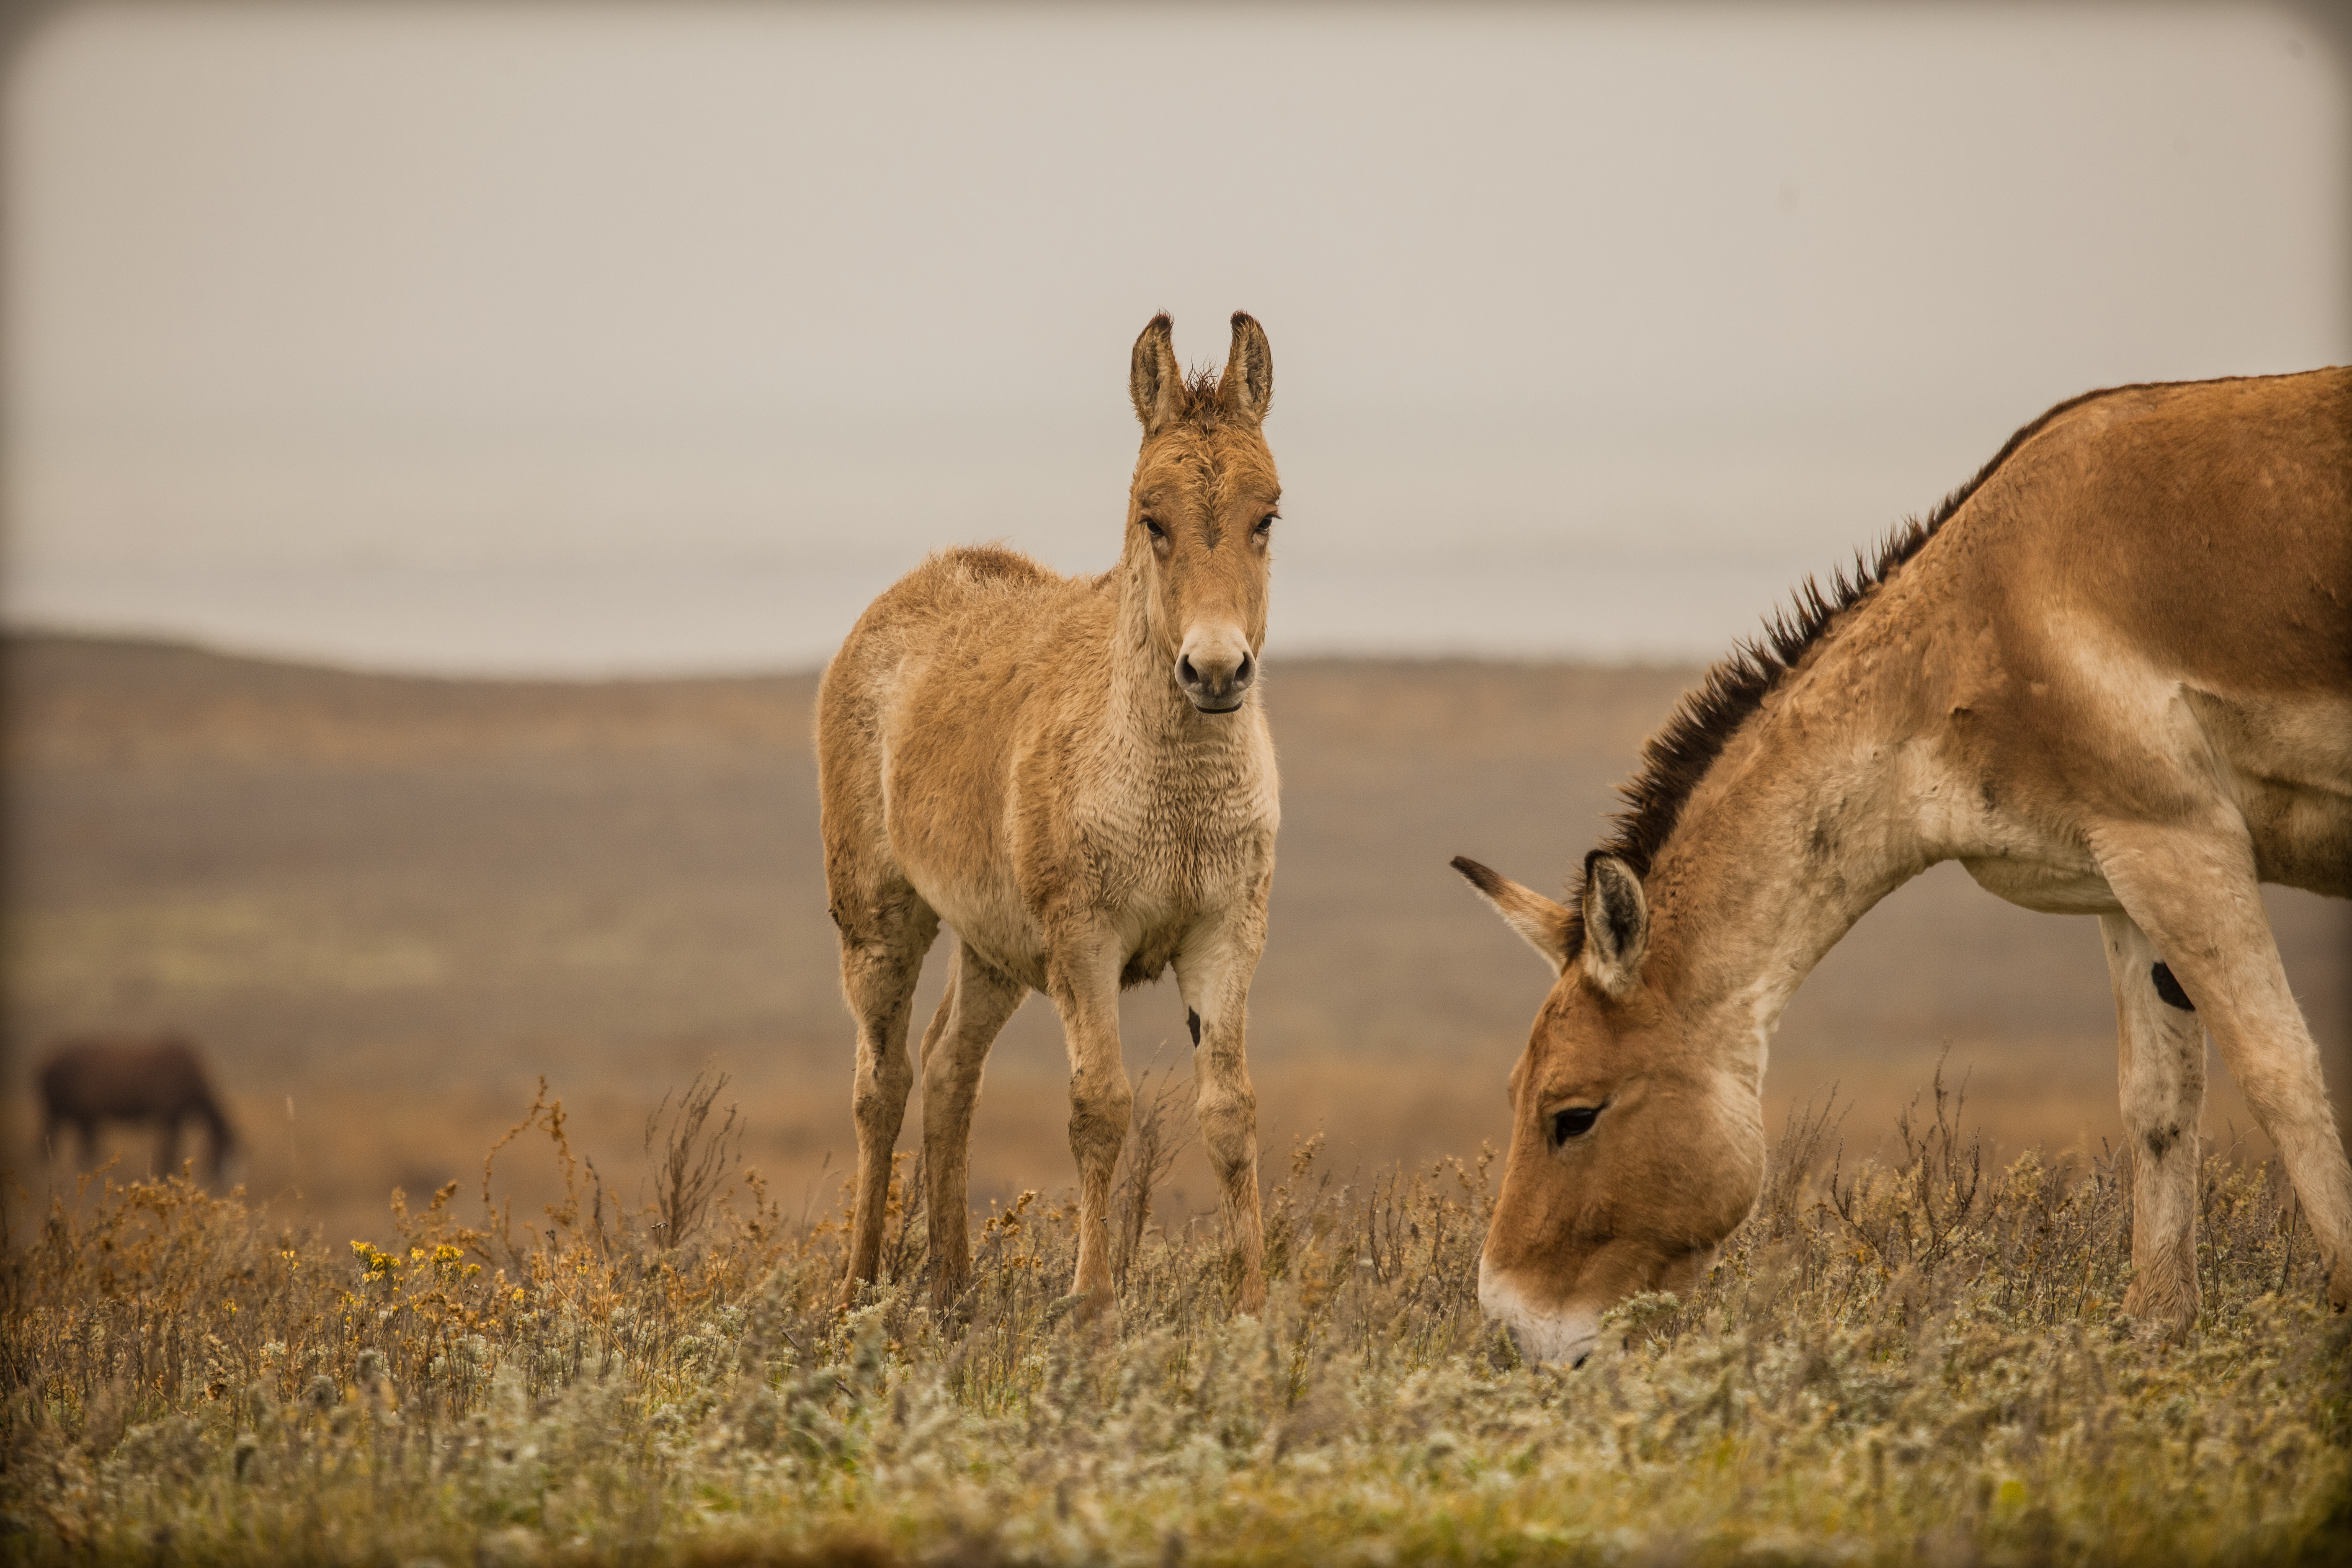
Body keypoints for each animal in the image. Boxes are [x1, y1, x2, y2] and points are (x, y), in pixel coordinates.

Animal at [38, 1044, 236, 1175]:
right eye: (223, 1147)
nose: (221, 1181)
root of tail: (48, 1062)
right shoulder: (168, 1117)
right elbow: (168, 1149)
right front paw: (164, 1172)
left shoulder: (173, 1119)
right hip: (64, 1114)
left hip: (78, 1117)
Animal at [818, 312, 1279, 1316]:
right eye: (1152, 517)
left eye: (1267, 516)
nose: (1215, 671)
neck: (1175, 796)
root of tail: (907, 592)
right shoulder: (1085, 942)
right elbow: (1100, 1108)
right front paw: (1095, 1305)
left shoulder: (1226, 934)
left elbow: (1231, 1112)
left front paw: (1257, 1312)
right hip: (880, 923)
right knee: (882, 1082)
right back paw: (860, 1288)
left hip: (992, 948)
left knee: (950, 1071)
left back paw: (953, 1290)